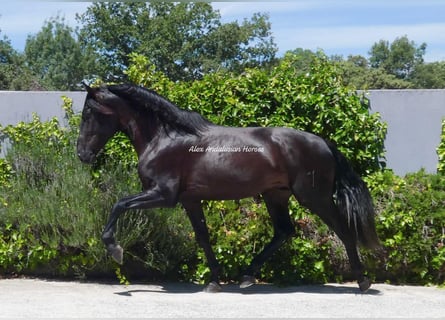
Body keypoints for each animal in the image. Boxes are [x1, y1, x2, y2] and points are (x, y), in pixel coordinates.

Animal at [76, 82, 378, 292]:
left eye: (89, 113)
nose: (82, 155)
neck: (165, 138)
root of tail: (324, 143)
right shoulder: (189, 200)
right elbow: (203, 237)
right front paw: (214, 280)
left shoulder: (163, 194)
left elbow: (119, 204)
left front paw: (114, 249)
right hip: (275, 195)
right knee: (284, 231)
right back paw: (247, 276)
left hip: (314, 197)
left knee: (343, 229)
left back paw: (362, 281)